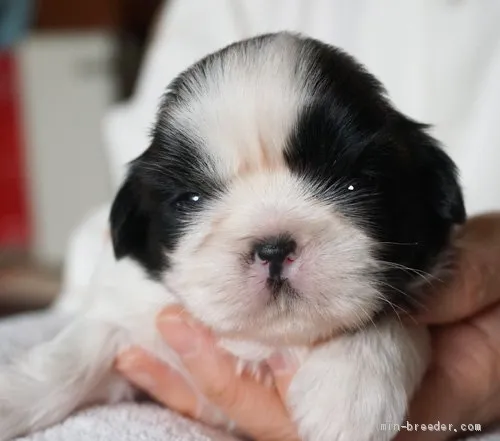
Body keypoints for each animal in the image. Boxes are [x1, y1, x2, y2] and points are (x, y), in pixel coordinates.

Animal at [0, 32, 464, 438]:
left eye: (355, 185)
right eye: (190, 199)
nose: (273, 247)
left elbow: (388, 314)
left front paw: (347, 392)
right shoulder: (132, 328)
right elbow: (78, 349)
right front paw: (14, 396)